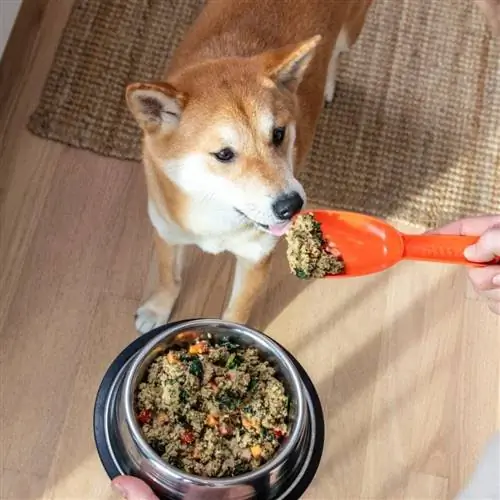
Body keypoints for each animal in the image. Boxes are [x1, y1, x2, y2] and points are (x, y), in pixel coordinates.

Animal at [127, 0, 374, 334]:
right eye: (224, 154)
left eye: (279, 134)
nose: (291, 206)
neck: (213, 214)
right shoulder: (167, 232)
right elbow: (168, 277)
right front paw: (157, 310)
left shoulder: (256, 258)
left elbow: (236, 312)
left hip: (351, 30)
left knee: (337, 53)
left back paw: (328, 84)